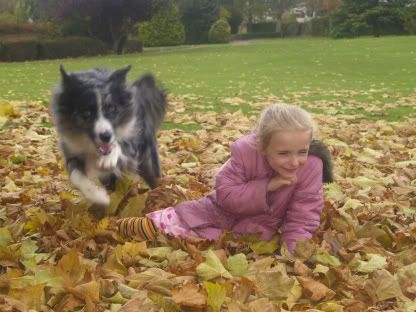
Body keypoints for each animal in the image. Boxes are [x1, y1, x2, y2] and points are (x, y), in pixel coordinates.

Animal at [49, 65, 166, 208]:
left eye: (111, 108)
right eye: (86, 113)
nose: (106, 136)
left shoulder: (132, 140)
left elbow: (120, 146)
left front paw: (108, 159)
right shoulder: (71, 153)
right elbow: (76, 176)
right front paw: (98, 196)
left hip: (148, 160)